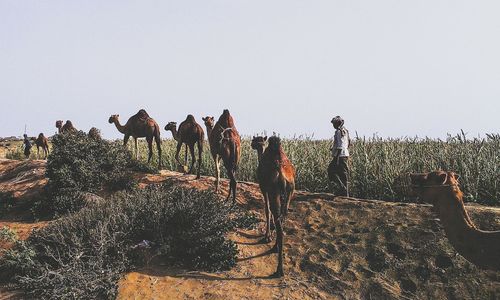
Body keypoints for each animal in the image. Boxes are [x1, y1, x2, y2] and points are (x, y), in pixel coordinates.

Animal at [252, 135, 294, 276]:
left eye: (255, 140)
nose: (252, 144)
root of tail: (282, 177)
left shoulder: (263, 188)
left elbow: (266, 210)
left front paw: (267, 237)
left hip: (274, 191)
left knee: (278, 219)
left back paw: (279, 269)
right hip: (290, 191)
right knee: (283, 216)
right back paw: (276, 247)